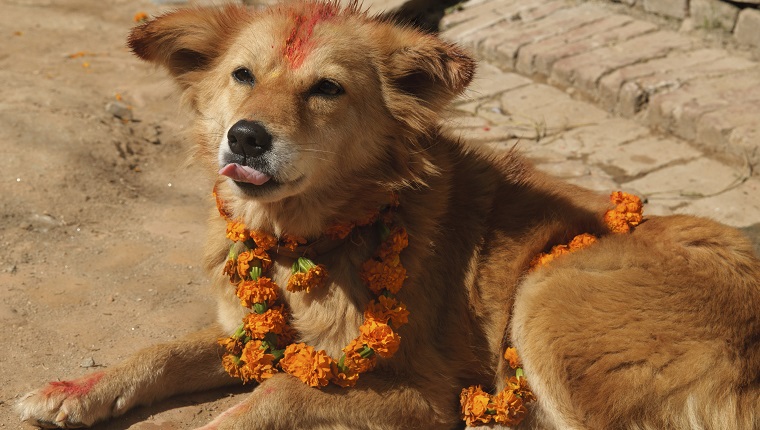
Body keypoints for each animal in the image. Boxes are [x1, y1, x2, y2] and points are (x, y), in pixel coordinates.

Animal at [14, 1, 760, 428]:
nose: (245, 138)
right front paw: (76, 388)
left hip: (547, 298)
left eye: (326, 89)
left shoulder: (421, 391)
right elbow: (163, 350)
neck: (306, 240)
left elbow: (274, 396)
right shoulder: (247, 331)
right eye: (242, 76)